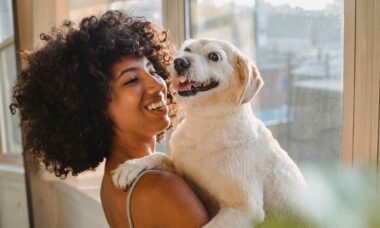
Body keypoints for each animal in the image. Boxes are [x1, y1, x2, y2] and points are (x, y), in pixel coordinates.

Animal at [111, 38, 308, 227]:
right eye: (187, 49)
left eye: (214, 56)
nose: (179, 62)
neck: (204, 122)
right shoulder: (183, 172)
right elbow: (161, 156)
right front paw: (132, 165)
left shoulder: (244, 210)